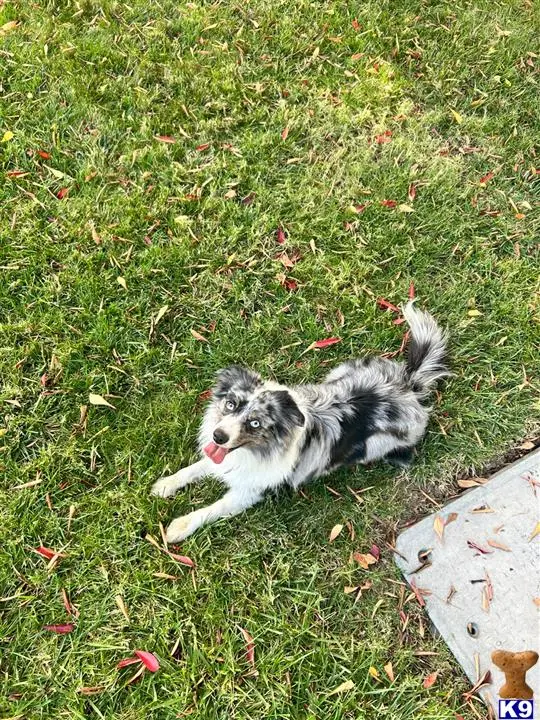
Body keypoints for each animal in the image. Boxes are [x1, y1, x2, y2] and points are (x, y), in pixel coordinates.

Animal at [152, 300, 448, 544]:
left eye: (256, 423)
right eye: (231, 404)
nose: (218, 436)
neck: (258, 449)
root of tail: (408, 386)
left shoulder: (247, 492)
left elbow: (212, 508)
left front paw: (180, 526)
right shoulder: (224, 458)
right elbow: (193, 468)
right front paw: (166, 484)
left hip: (376, 445)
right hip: (341, 371)